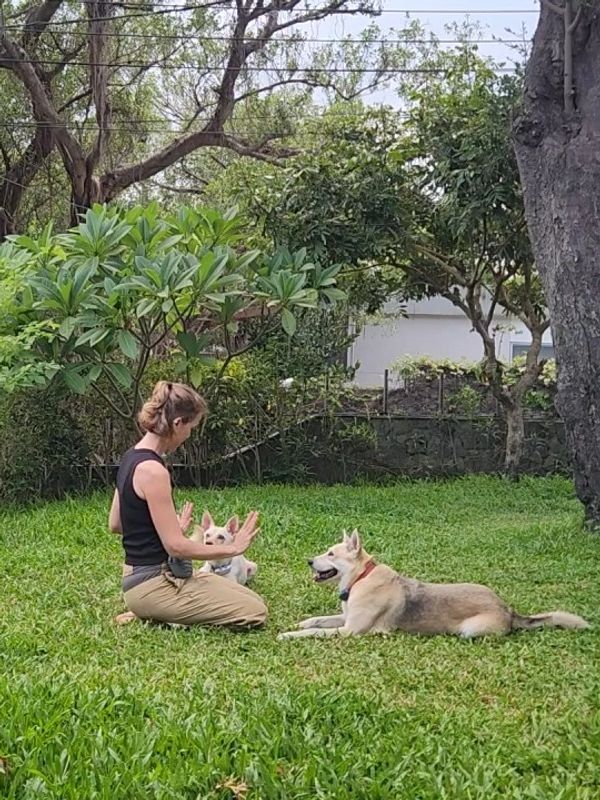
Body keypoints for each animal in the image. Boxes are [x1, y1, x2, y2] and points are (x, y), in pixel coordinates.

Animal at [277, 529, 590, 640]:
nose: (308, 560)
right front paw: (299, 623)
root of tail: (509, 610)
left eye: (331, 554)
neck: (360, 578)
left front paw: (290, 635)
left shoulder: (349, 630)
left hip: (470, 630)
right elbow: (318, 620)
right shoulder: (344, 618)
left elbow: (317, 632)